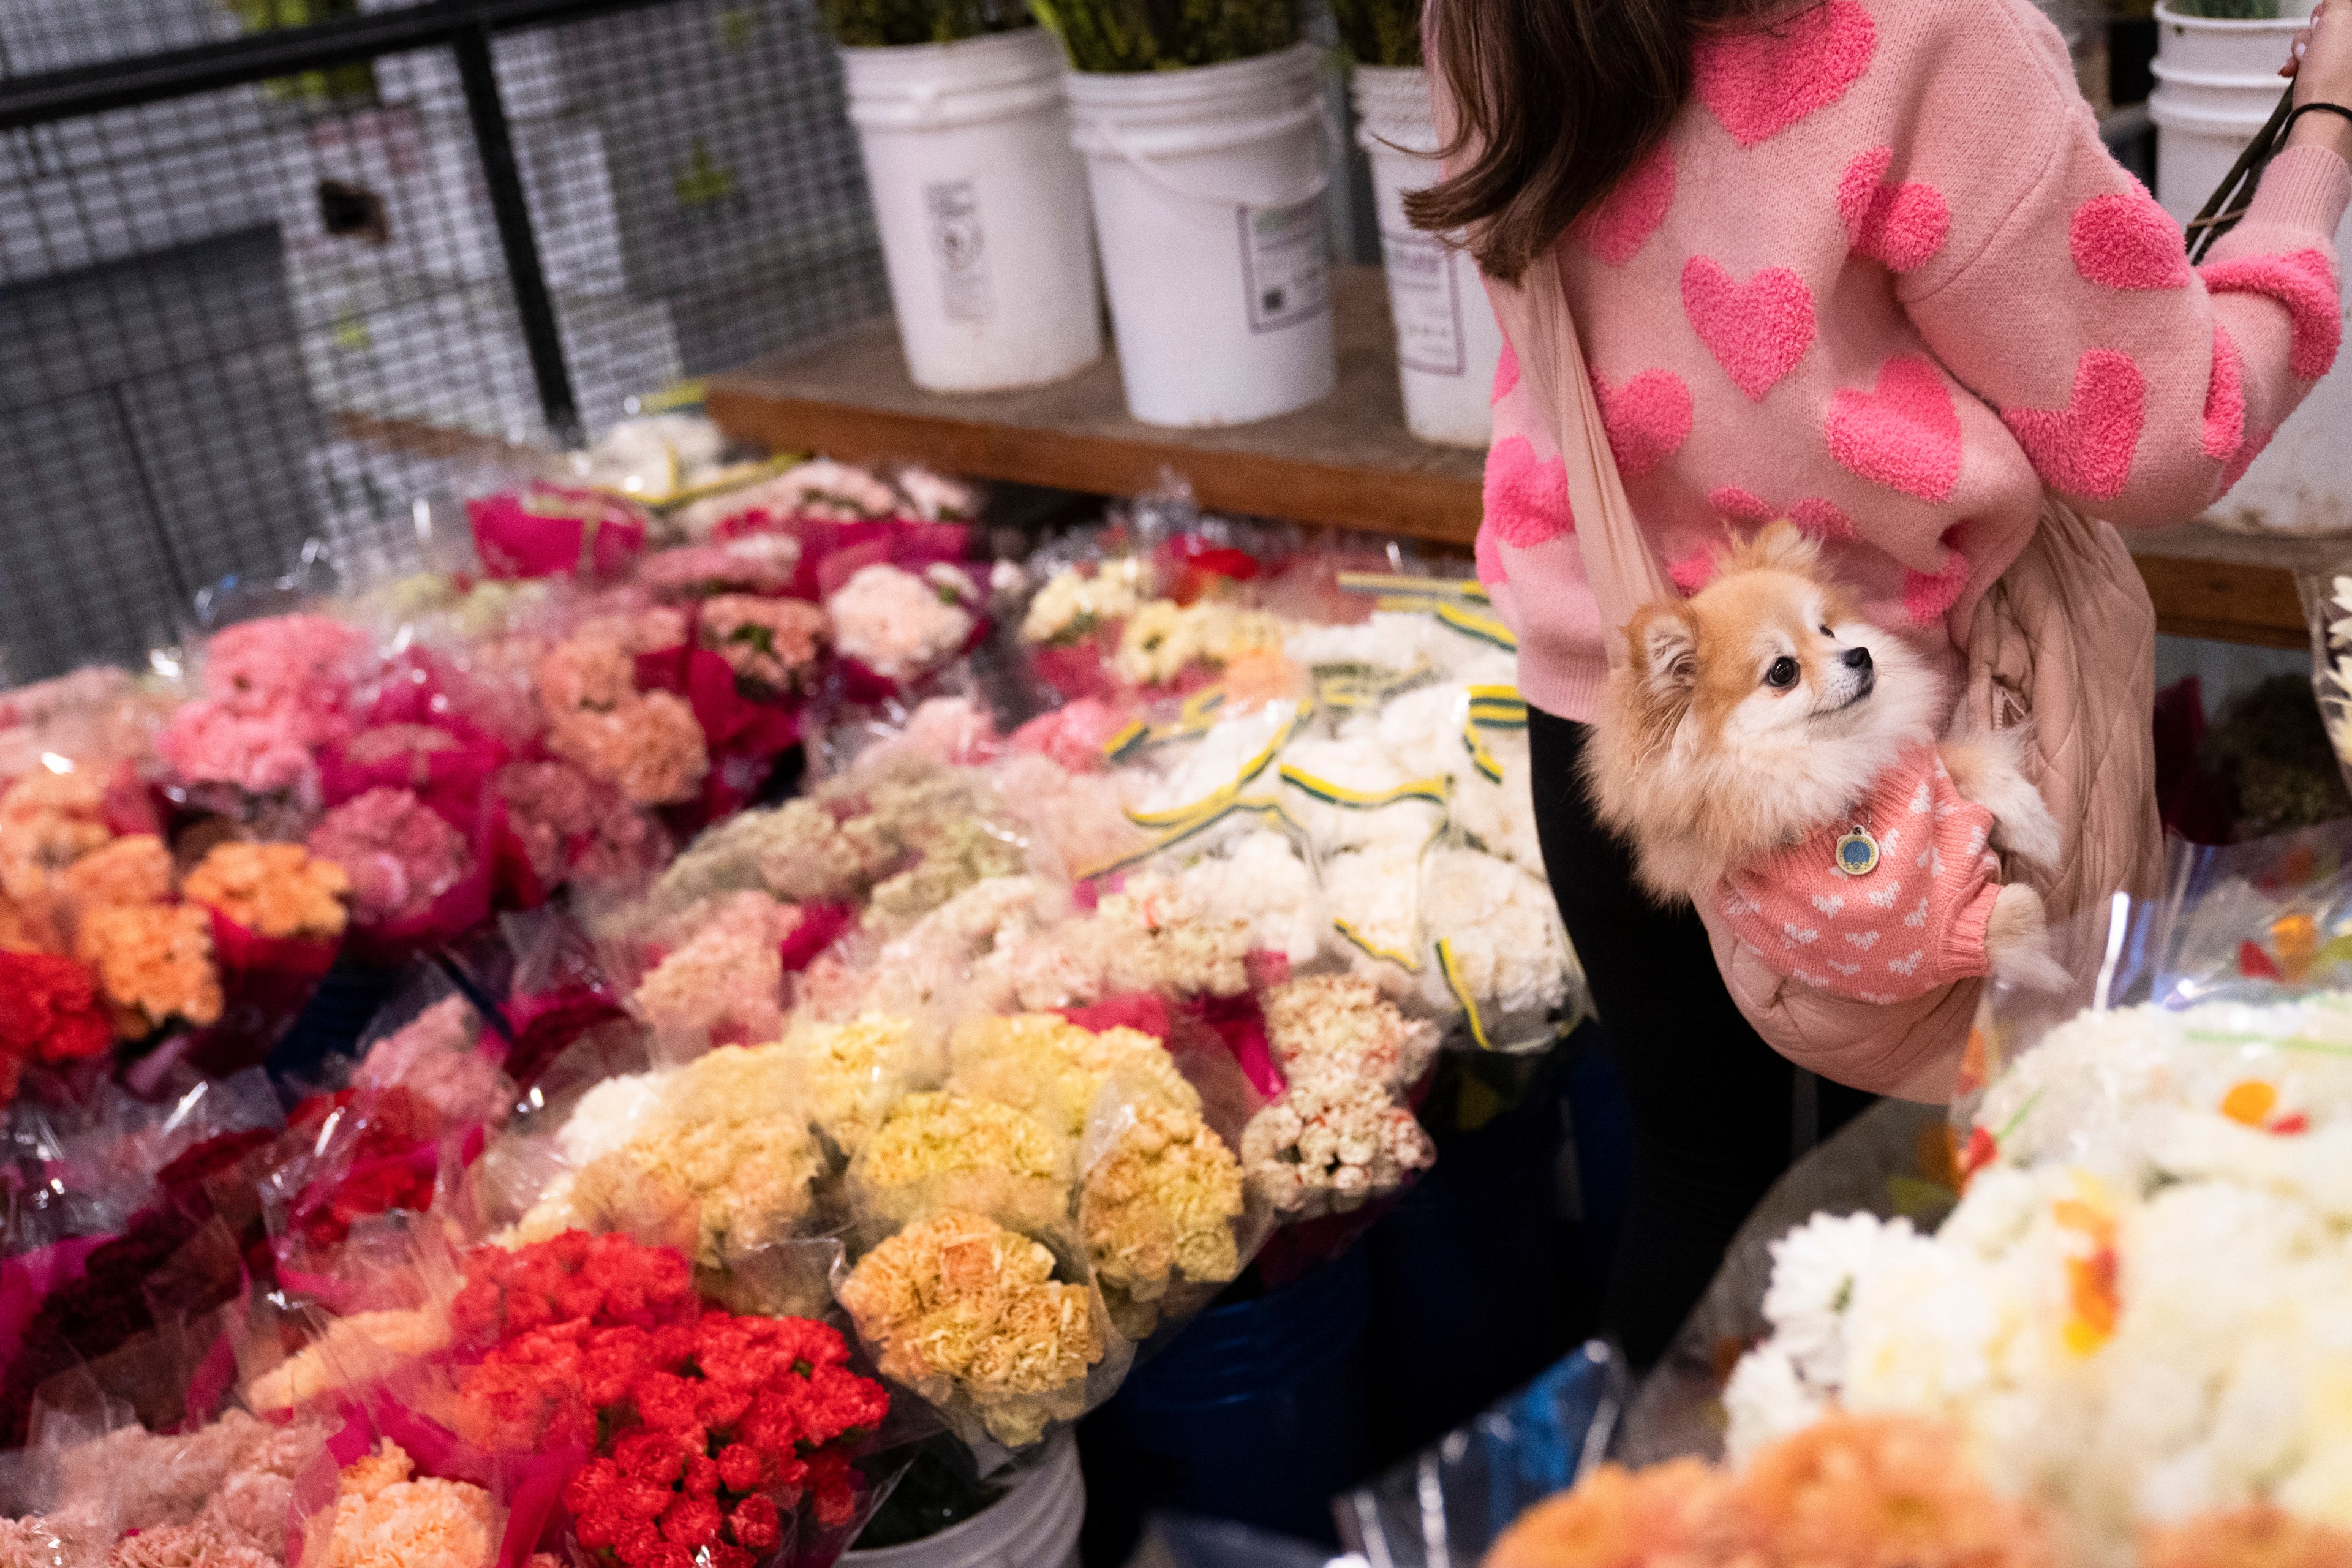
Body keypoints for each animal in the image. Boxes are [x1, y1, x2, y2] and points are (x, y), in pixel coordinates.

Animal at [1580, 522, 2060, 1001]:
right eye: (1783, 672)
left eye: (1827, 631)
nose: (1861, 653)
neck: (1831, 758)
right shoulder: (1910, 941)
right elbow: (2024, 912)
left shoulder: (1914, 755)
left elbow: (1978, 766)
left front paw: (2039, 831)